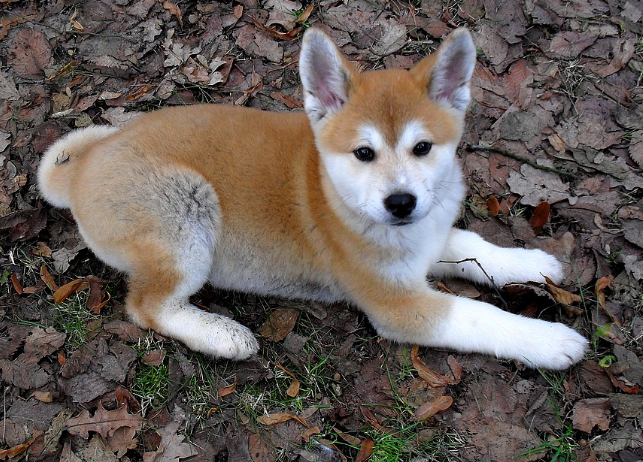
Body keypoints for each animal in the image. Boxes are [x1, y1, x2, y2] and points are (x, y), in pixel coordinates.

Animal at [36, 28, 588, 368]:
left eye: (422, 148)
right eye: (364, 152)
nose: (401, 204)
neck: (340, 195)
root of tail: (85, 164)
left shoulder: (427, 236)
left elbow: (470, 246)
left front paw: (530, 262)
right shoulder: (398, 304)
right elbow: (480, 316)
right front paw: (546, 340)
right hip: (185, 211)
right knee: (148, 305)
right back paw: (221, 335)